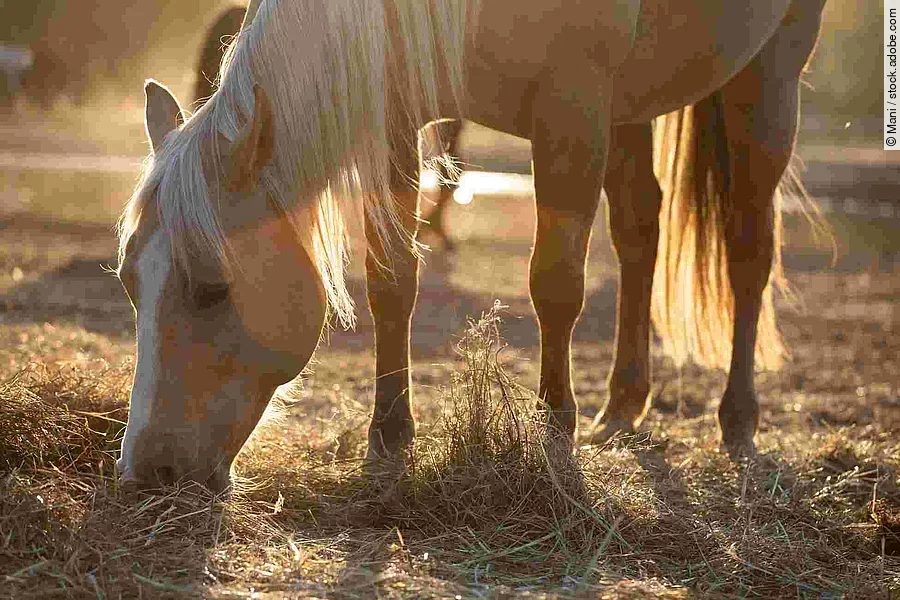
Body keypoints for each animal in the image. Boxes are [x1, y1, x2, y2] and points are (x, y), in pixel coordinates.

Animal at [116, 0, 827, 491]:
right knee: (638, 232)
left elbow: (555, 281)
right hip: (634, 102)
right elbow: (392, 280)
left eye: (212, 288)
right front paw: (390, 437)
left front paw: (555, 433)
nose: (146, 473)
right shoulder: (399, 114)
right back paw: (623, 406)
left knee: (749, 249)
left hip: (770, 72)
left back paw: (737, 420)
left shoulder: (572, 108)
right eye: (128, 283)